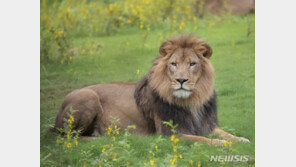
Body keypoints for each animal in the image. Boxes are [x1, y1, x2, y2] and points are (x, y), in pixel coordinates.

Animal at [52, 34, 250, 145]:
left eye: (192, 64)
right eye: (173, 64)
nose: (181, 80)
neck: (192, 100)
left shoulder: (206, 125)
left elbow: (225, 133)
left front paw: (241, 140)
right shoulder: (171, 133)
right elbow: (202, 139)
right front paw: (222, 144)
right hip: (88, 96)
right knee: (68, 136)